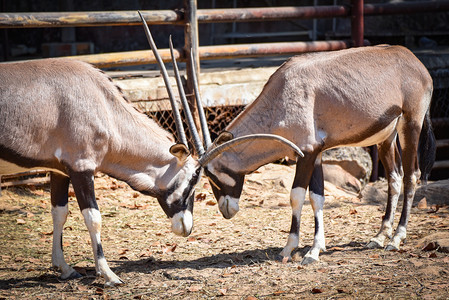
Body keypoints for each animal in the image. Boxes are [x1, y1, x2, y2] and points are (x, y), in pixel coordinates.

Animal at [195, 44, 434, 264]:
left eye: (210, 175)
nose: (226, 211)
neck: (280, 96)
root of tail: (415, 63)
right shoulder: (316, 153)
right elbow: (317, 197)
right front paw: (315, 249)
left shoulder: (307, 153)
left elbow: (296, 196)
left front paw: (290, 248)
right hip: (387, 137)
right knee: (394, 177)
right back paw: (380, 236)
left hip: (410, 125)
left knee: (411, 176)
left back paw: (397, 238)